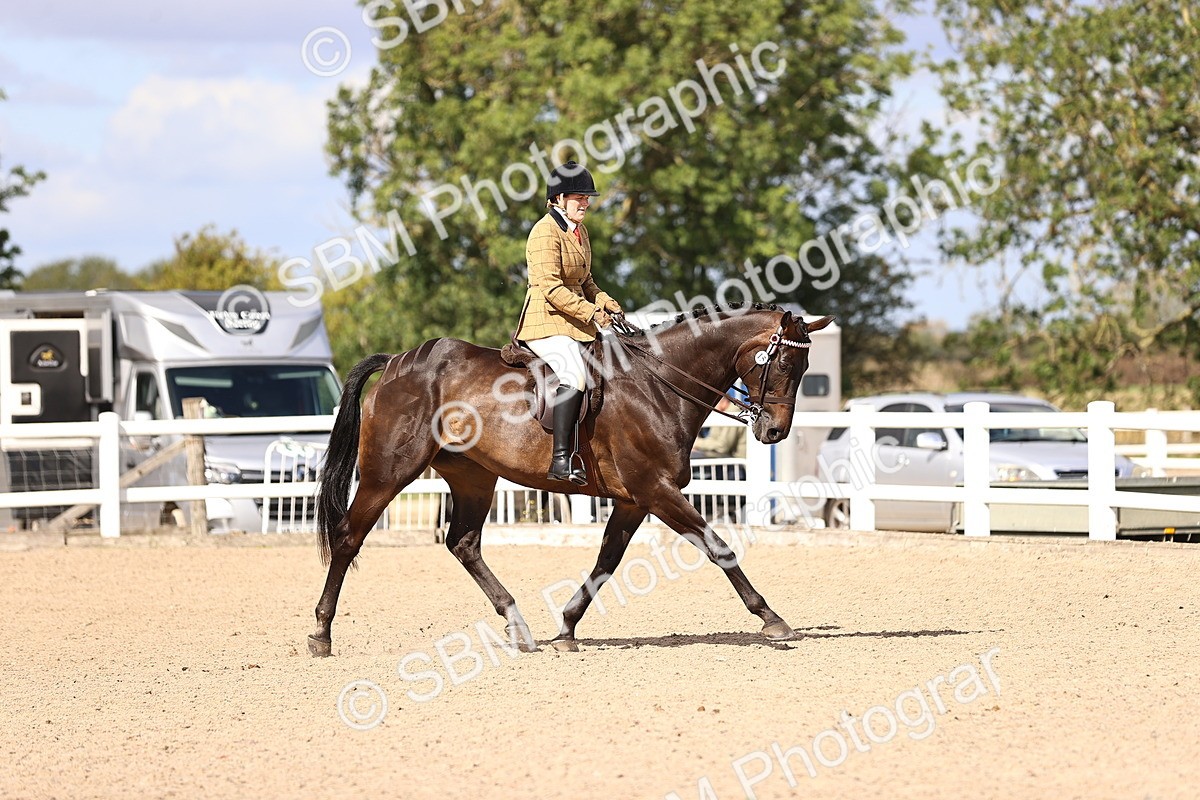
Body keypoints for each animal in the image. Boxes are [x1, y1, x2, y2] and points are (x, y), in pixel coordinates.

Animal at [308, 304, 835, 656]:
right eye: (783, 363)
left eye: (806, 367)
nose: (774, 431)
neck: (659, 383)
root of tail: (399, 361)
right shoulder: (656, 491)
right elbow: (718, 547)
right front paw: (771, 619)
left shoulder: (634, 500)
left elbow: (607, 561)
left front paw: (565, 627)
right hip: (389, 473)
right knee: (349, 536)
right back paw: (321, 633)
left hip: (474, 476)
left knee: (463, 543)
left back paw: (518, 626)